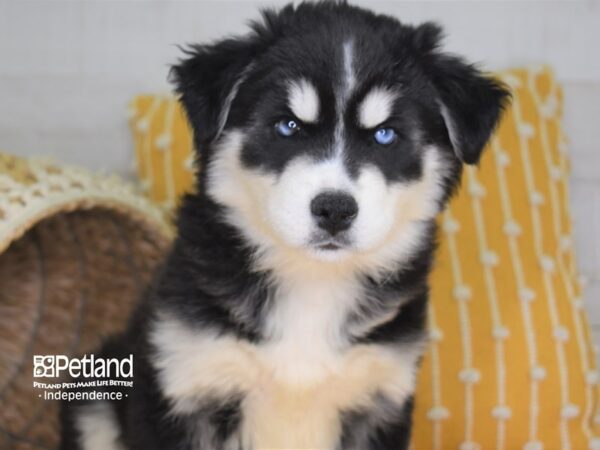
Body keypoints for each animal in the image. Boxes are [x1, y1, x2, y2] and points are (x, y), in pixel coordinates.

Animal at [61, 1, 508, 448]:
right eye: (287, 126)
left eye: (385, 135)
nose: (335, 209)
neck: (311, 283)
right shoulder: (185, 382)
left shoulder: (380, 396)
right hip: (95, 398)